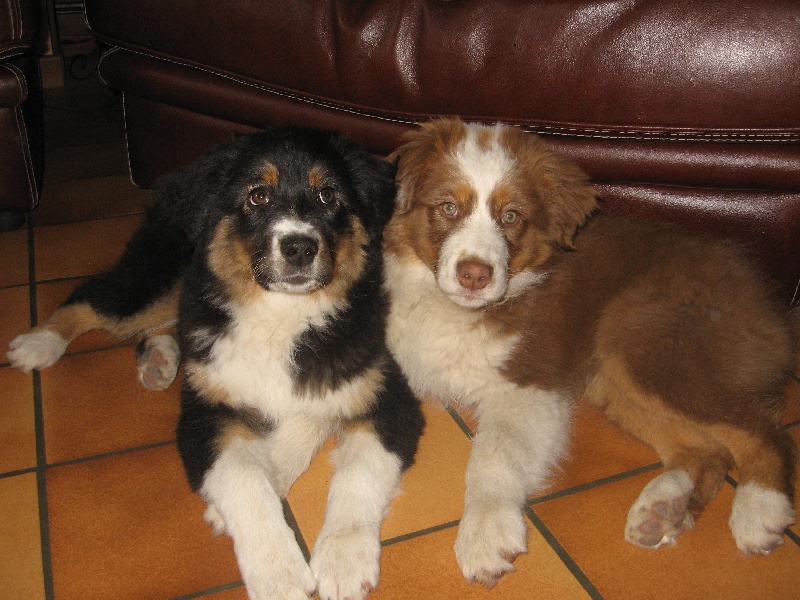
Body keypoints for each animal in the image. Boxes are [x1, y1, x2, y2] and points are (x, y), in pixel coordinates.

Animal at [8, 128, 424, 600]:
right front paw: (279, 575)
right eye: (258, 196)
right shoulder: (204, 413)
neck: (282, 314)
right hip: (161, 274)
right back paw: (37, 344)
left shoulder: (381, 386)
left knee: (170, 322)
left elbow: (353, 465)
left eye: (328, 195)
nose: (300, 247)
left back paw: (159, 359)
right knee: (94, 300)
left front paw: (342, 559)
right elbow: (244, 479)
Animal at [383, 118, 797, 587]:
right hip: (615, 378)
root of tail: (766, 298)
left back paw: (760, 510)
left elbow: (494, 455)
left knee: (765, 431)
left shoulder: (531, 380)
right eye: (449, 208)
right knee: (707, 451)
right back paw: (663, 509)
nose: (475, 275)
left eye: (511, 217)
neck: (451, 310)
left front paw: (486, 531)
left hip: (642, 339)